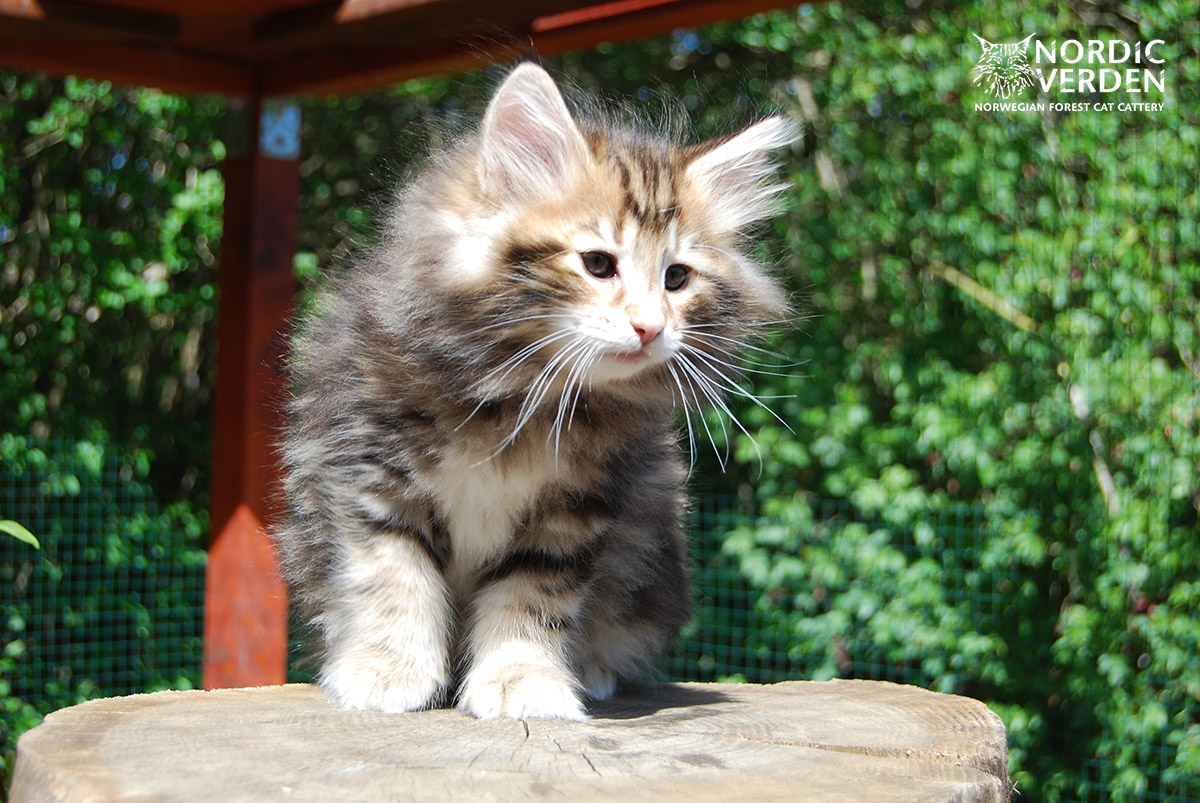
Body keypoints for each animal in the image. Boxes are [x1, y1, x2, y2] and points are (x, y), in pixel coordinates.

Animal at [274, 63, 796, 720]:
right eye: (598, 264)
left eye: (677, 278)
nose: (651, 327)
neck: (520, 398)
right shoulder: (372, 477)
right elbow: (394, 581)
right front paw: (388, 672)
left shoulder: (573, 511)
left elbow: (531, 599)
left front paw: (522, 681)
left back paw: (591, 670)